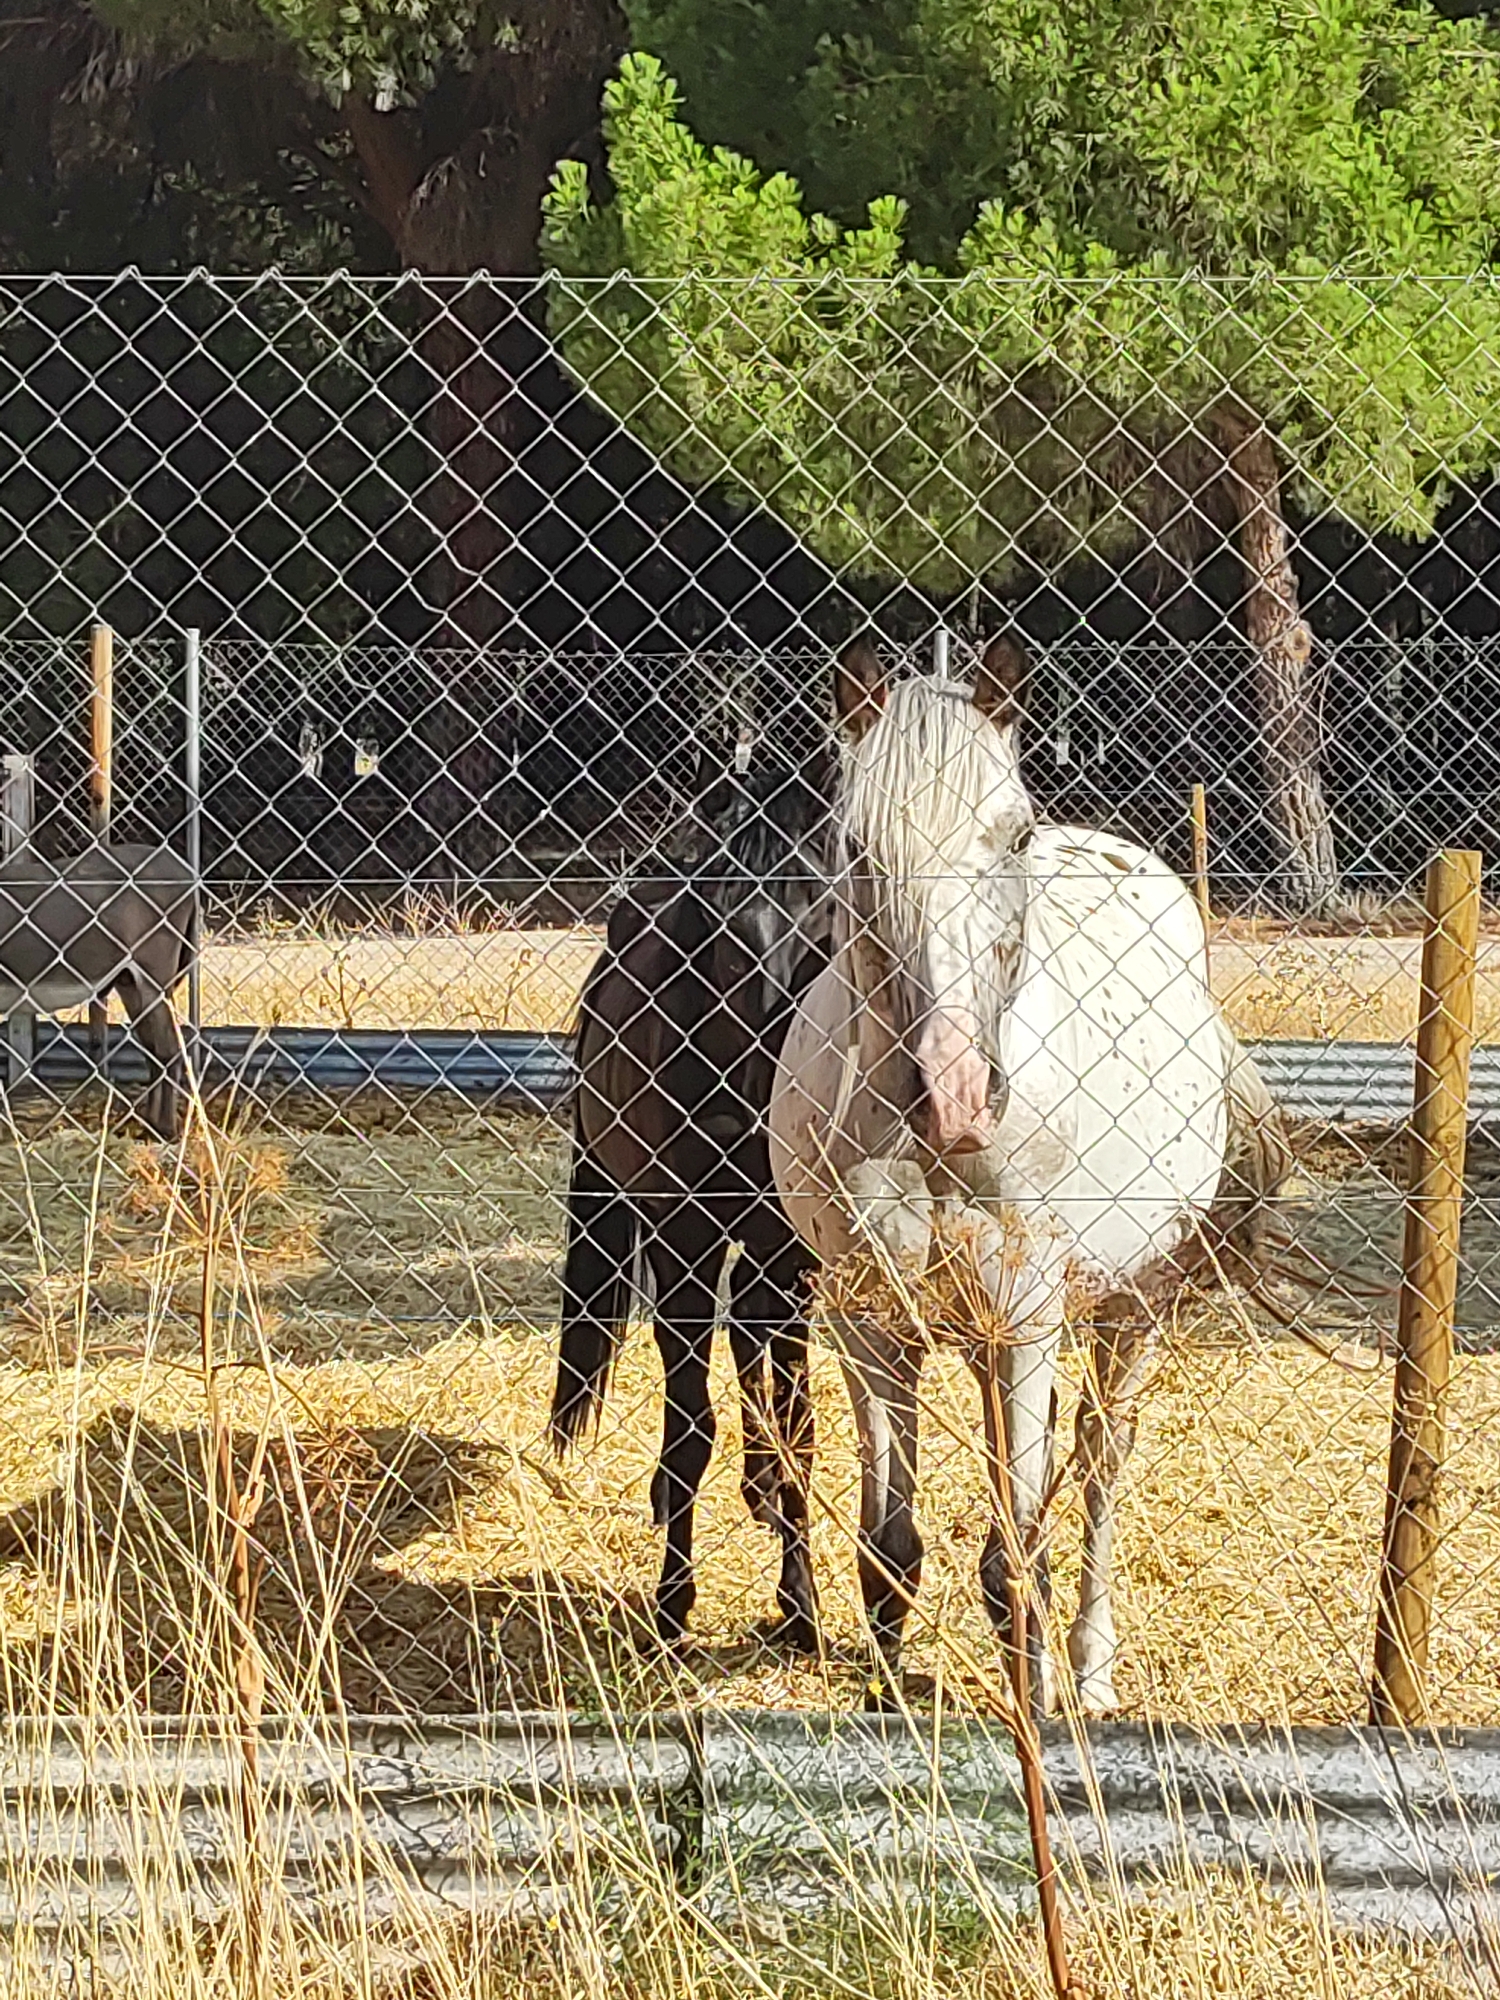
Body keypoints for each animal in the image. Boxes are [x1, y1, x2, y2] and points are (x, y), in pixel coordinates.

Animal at [0, 841, 195, 1141]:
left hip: (155, 974)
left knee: (168, 1049)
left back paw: (164, 1132)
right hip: (129, 981)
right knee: (153, 1049)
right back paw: (148, 1125)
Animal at [550, 733, 838, 1653]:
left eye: (824, 922)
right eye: (709, 931)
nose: (727, 1118)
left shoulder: (796, 1253)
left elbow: (798, 1431)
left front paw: (802, 1606)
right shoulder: (683, 1241)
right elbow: (688, 1432)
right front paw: (674, 1605)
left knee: (750, 1327)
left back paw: (759, 1491)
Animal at [767, 633, 1304, 1718]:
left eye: (1011, 837)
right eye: (853, 844)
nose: (956, 1096)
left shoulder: (1025, 1317)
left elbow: (1017, 1557)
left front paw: (1036, 1705)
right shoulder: (867, 1320)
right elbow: (890, 1545)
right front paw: (888, 1705)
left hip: (1128, 1307)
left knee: (1097, 1467)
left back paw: (1089, 1670)